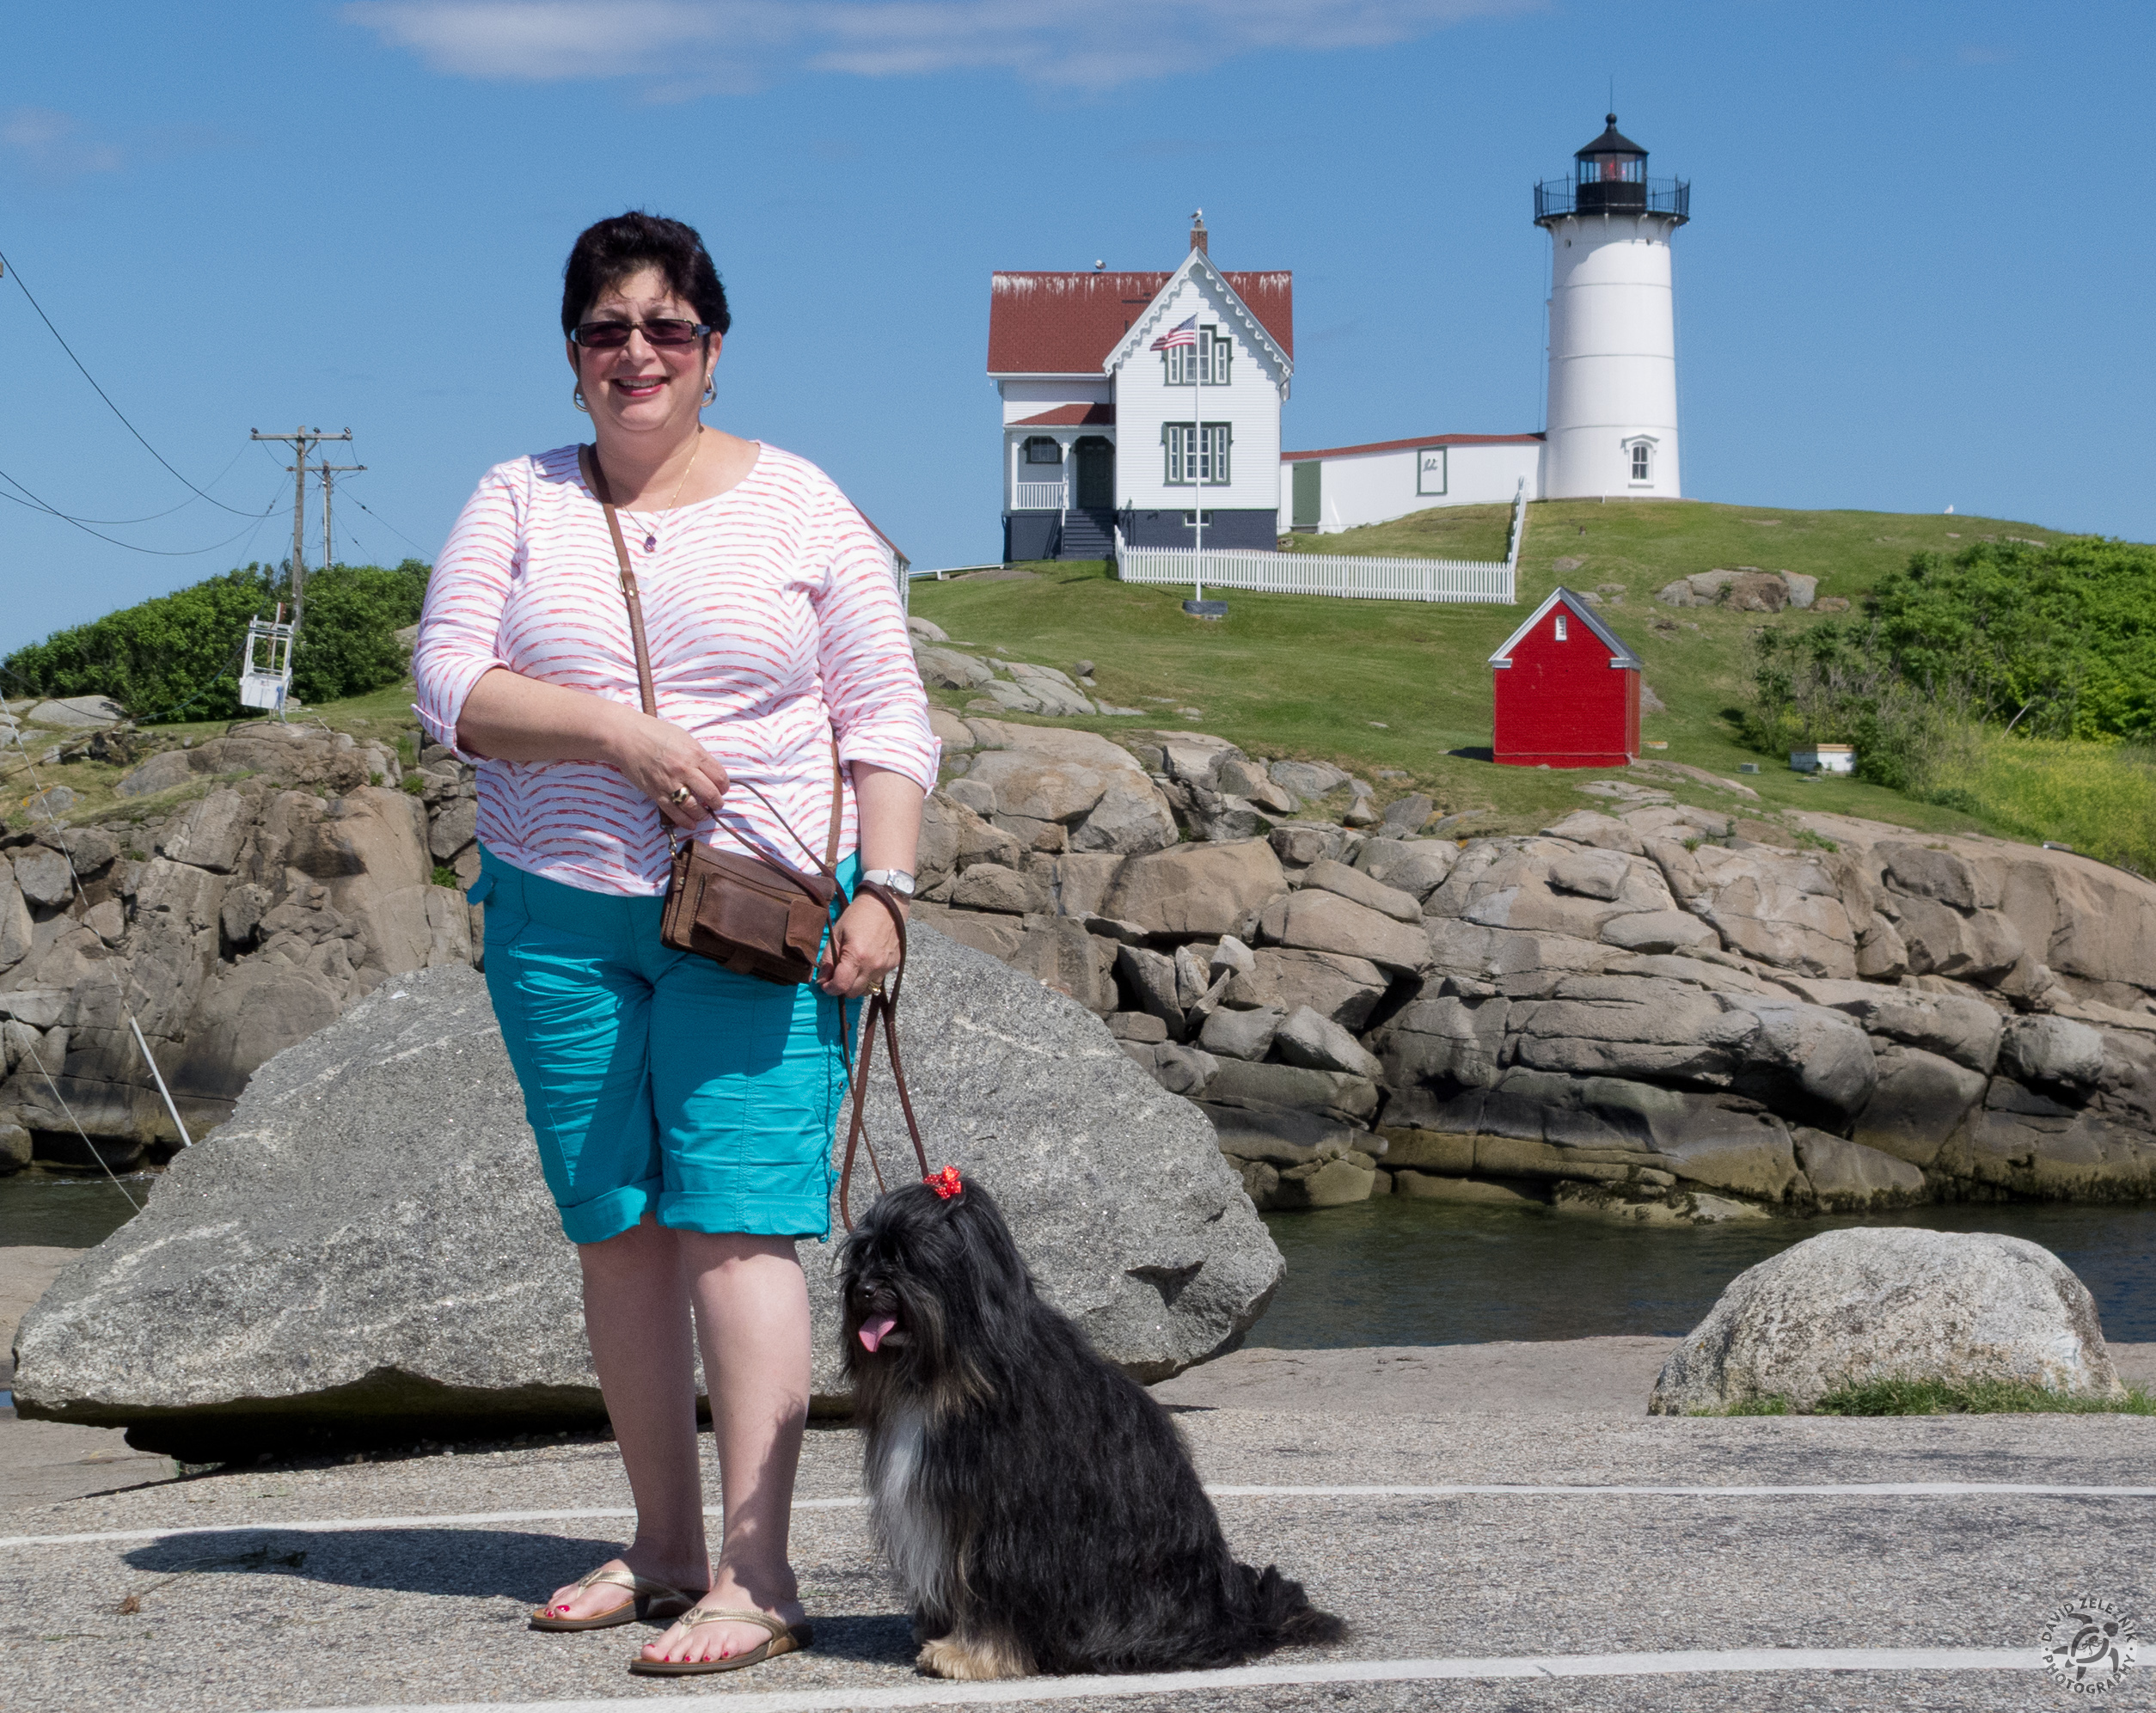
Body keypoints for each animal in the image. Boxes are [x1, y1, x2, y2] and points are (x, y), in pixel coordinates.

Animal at [832, 1172, 1336, 1680]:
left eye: (906, 1255)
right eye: (863, 1254)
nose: (863, 1290)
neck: (956, 1372)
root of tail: (1233, 1615)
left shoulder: (1006, 1523)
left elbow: (992, 1588)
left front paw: (970, 1653)